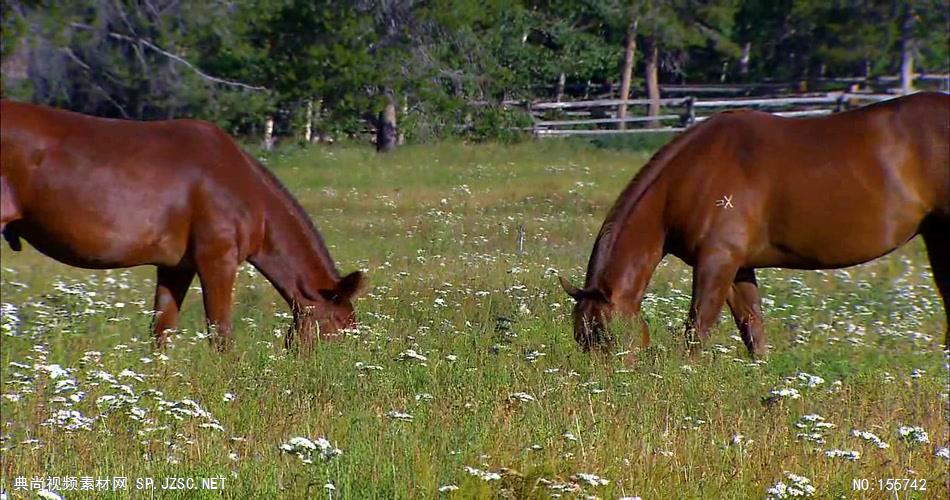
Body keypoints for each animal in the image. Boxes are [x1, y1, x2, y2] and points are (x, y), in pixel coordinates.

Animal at [0, 99, 364, 352]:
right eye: (339, 325)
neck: (247, 190)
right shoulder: (217, 260)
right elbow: (220, 335)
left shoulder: (176, 266)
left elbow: (161, 332)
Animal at [560, 91, 950, 356]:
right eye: (581, 336)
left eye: (604, 335)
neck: (692, 176)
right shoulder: (739, 267)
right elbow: (753, 331)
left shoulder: (716, 261)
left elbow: (697, 330)